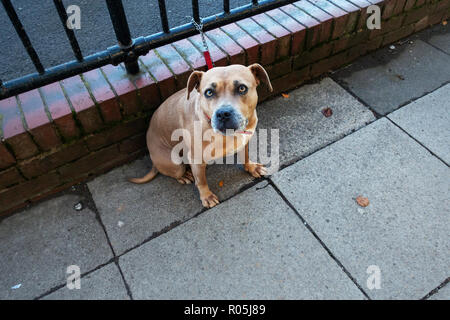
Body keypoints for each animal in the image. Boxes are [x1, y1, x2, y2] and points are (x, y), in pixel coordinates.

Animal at [128, 63, 272, 208]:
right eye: (209, 92)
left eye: (242, 88)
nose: (223, 113)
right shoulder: (195, 158)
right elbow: (201, 181)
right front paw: (206, 196)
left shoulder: (244, 141)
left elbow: (245, 156)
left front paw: (251, 167)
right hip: (175, 163)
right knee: (175, 171)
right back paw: (184, 176)